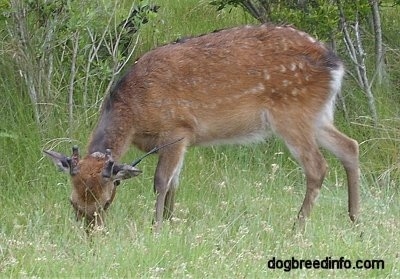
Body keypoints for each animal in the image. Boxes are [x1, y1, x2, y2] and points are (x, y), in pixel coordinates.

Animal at [43, 23, 360, 232]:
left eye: (107, 201)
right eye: (72, 203)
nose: (90, 233)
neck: (134, 113)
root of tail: (336, 64)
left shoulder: (177, 130)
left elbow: (161, 181)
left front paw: (156, 228)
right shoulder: (180, 141)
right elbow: (174, 182)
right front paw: (171, 223)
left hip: (292, 113)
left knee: (317, 166)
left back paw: (297, 227)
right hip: (317, 115)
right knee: (350, 146)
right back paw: (355, 219)